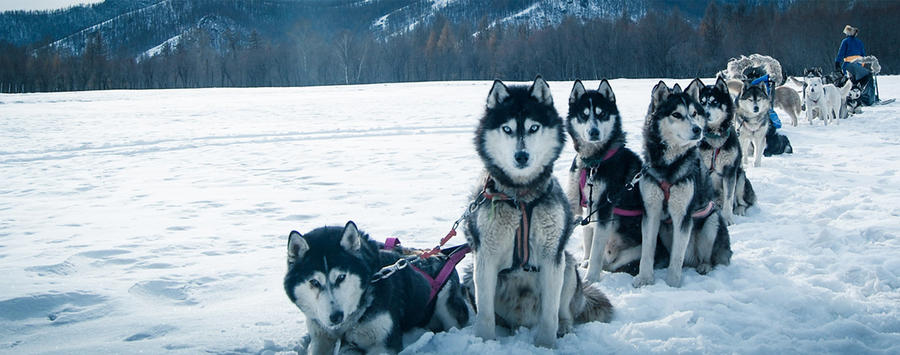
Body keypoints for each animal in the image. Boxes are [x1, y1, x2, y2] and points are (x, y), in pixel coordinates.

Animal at [286, 222, 472, 354]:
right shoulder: (320, 337)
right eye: (314, 282)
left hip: (446, 305)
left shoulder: (383, 344)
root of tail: (443, 255)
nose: (336, 316)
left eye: (341, 277)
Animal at [464, 77, 612, 348]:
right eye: (507, 129)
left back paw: (564, 327)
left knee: (564, 310)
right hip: (469, 275)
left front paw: (545, 344)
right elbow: (485, 314)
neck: (521, 198)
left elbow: (549, 313)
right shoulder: (485, 256)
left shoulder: (551, 256)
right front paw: (485, 342)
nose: (521, 156)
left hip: (568, 267)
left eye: (533, 128)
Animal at [568, 78, 644, 280]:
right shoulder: (586, 204)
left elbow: (596, 248)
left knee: (614, 264)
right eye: (584, 115)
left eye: (601, 114)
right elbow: (588, 236)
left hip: (632, 253)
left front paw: (590, 277)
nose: (594, 132)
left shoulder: (604, 208)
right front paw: (585, 262)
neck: (593, 161)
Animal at [628, 81, 736, 290]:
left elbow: (677, 256)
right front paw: (645, 279)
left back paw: (704, 266)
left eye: (694, 113)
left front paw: (672, 284)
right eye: (676, 114)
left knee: (705, 257)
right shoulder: (651, 211)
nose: (698, 129)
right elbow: (647, 251)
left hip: (712, 222)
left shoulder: (682, 214)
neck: (668, 166)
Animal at [684, 79, 756, 227]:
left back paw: (739, 210)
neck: (715, 137)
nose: (705, 113)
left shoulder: (730, 170)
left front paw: (727, 219)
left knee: (743, 202)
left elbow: (729, 199)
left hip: (740, 176)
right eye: (702, 102)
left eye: (714, 101)